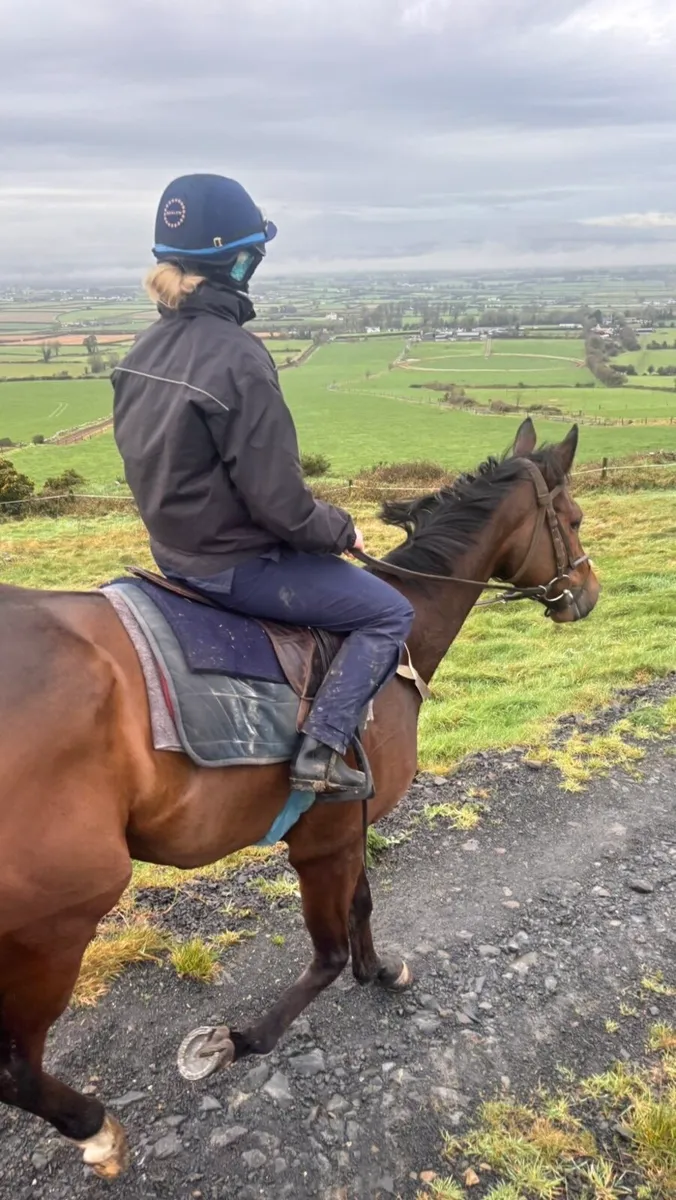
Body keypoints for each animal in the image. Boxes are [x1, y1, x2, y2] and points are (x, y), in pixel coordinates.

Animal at [0, 419, 599, 1177]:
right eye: (572, 520)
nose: (588, 592)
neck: (396, 641)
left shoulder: (349, 823)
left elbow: (361, 907)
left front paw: (381, 970)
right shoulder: (323, 838)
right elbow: (327, 953)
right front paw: (238, 1041)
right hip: (54, 926)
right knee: (15, 1068)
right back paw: (96, 1129)